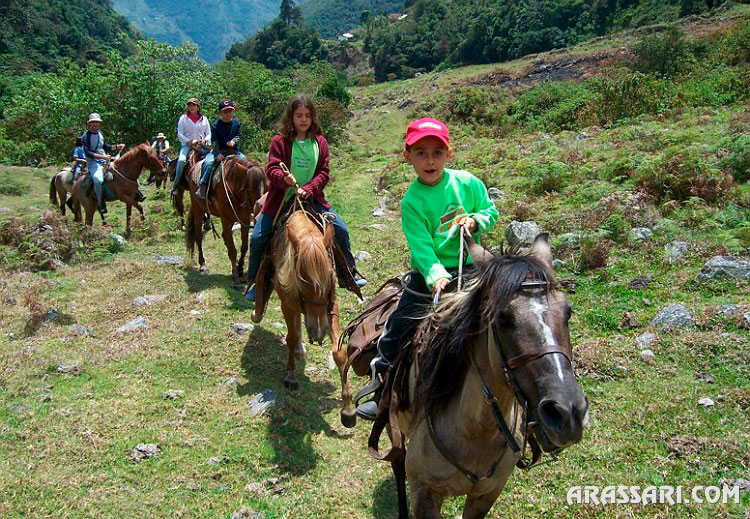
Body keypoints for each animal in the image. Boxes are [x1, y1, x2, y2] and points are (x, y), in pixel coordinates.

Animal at [185, 154, 268, 284]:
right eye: (250, 188)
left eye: (265, 187)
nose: (260, 208)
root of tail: (193, 167)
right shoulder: (226, 220)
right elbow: (232, 251)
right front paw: (236, 277)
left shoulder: (244, 219)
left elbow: (244, 247)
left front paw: (240, 268)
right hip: (198, 210)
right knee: (198, 237)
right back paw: (203, 264)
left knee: (224, 236)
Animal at [254, 209, 356, 428]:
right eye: (302, 279)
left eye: (330, 277)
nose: (318, 332)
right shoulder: (287, 304)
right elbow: (291, 338)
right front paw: (291, 377)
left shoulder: (331, 306)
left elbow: (339, 352)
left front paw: (348, 409)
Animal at [378, 236, 592, 519]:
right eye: (503, 318)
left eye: (568, 312)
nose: (567, 413)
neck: (476, 431)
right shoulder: (424, 493)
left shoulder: (487, 494)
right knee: (397, 460)